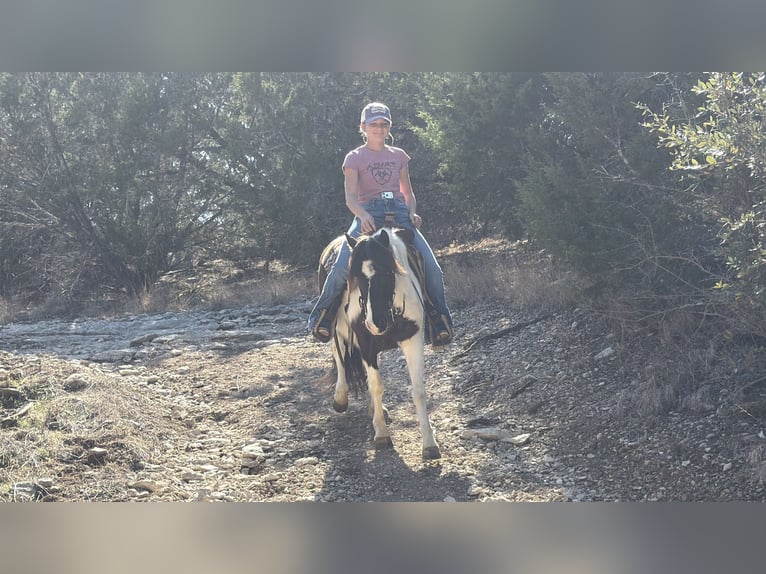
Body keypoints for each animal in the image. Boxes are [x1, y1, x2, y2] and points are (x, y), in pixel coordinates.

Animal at [318, 227, 441, 460]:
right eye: (357, 277)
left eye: (387, 273)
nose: (376, 323)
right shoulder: (366, 343)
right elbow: (376, 386)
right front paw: (382, 434)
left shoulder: (413, 339)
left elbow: (418, 390)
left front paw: (429, 444)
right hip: (337, 331)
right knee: (339, 358)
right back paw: (341, 398)